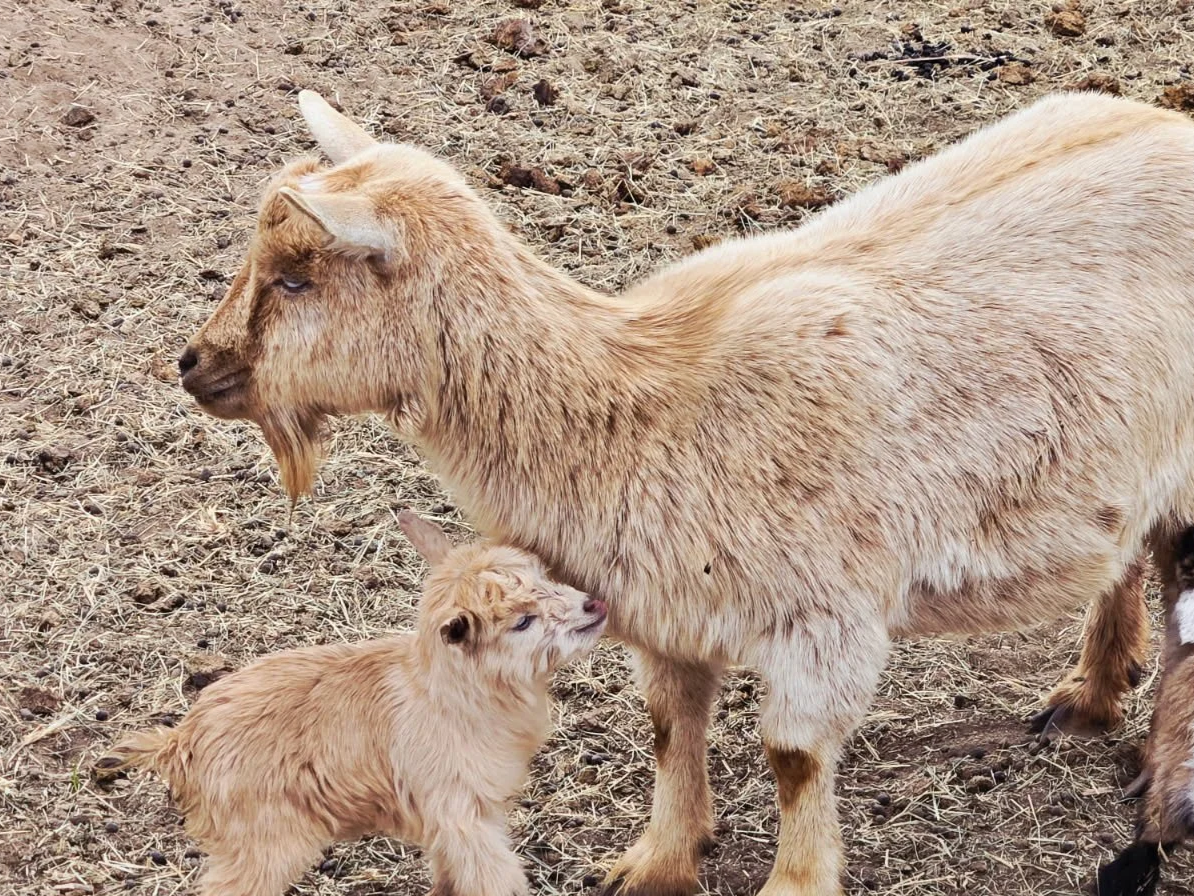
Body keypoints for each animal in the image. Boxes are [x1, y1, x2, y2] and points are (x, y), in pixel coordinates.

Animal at [100, 511, 608, 896]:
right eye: (522, 621)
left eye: (544, 574)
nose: (595, 606)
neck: (450, 697)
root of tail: (179, 742)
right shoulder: (463, 816)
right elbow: (494, 879)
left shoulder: (448, 822)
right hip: (261, 846)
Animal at [179, 90, 1194, 895]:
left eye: (296, 278)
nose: (194, 367)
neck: (639, 399)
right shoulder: (661, 609)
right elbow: (670, 727)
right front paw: (659, 861)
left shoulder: (827, 617)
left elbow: (794, 759)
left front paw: (794, 882)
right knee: (1127, 550)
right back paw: (1093, 691)